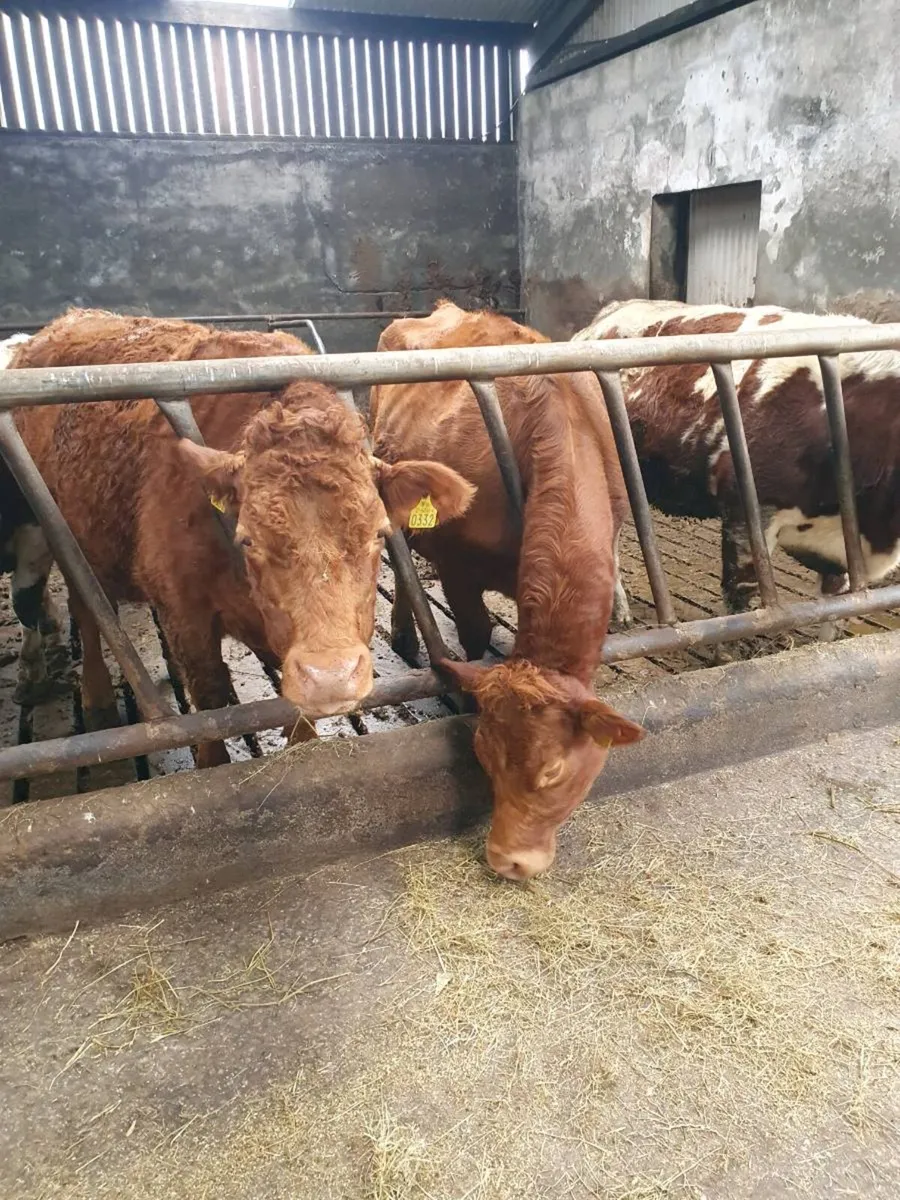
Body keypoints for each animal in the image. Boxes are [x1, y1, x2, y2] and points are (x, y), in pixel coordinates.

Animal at [11, 309, 474, 766]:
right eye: (248, 540)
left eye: (379, 533)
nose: (330, 678)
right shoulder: (185, 611)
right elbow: (211, 706)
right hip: (64, 538)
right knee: (87, 615)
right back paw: (98, 702)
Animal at [370, 301, 644, 881]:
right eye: (484, 757)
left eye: (554, 772)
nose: (505, 860)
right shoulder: (457, 569)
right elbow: (475, 638)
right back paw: (404, 637)